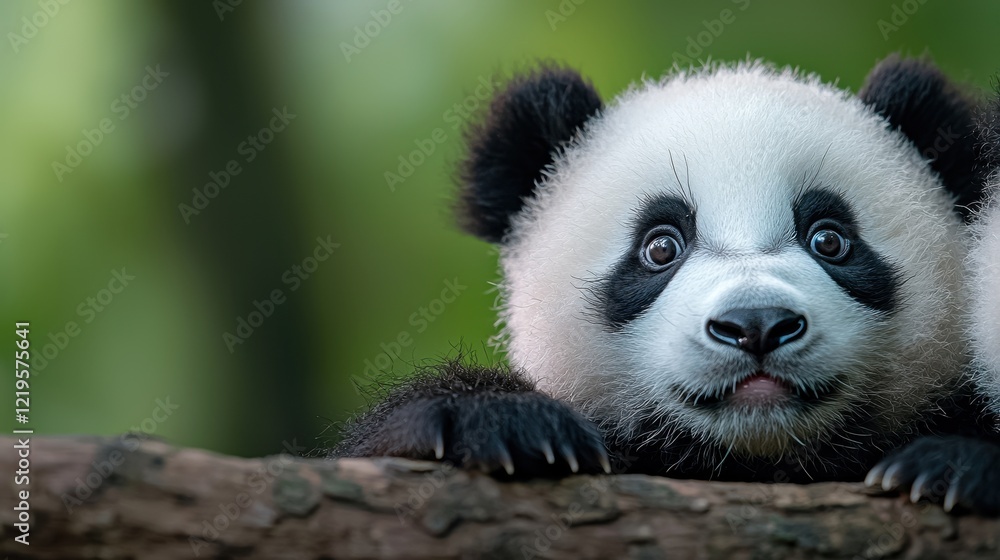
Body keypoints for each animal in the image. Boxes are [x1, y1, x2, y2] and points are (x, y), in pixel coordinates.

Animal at [336, 55, 1000, 514]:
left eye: (830, 240)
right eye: (660, 247)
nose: (756, 325)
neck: (748, 462)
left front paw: (951, 466)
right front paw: (503, 423)